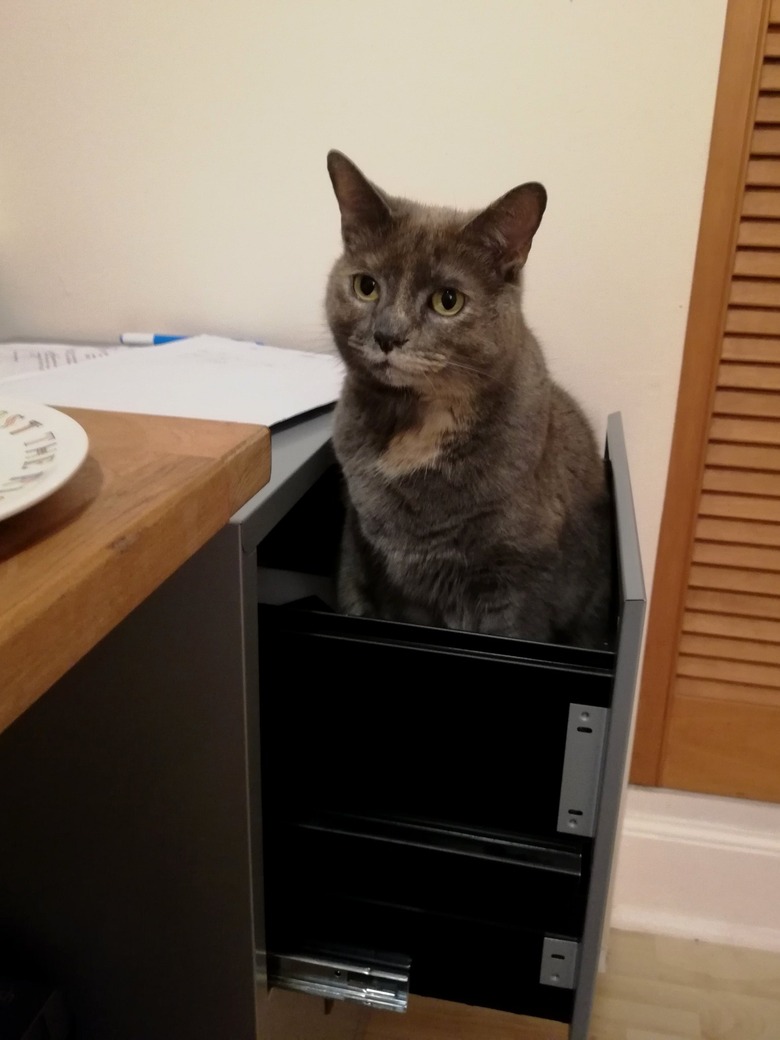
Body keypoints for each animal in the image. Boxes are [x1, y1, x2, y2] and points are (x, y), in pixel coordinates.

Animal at [324, 150, 611, 644]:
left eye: (448, 301)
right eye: (366, 286)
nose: (387, 335)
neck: (415, 426)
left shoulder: (513, 585)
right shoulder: (391, 577)